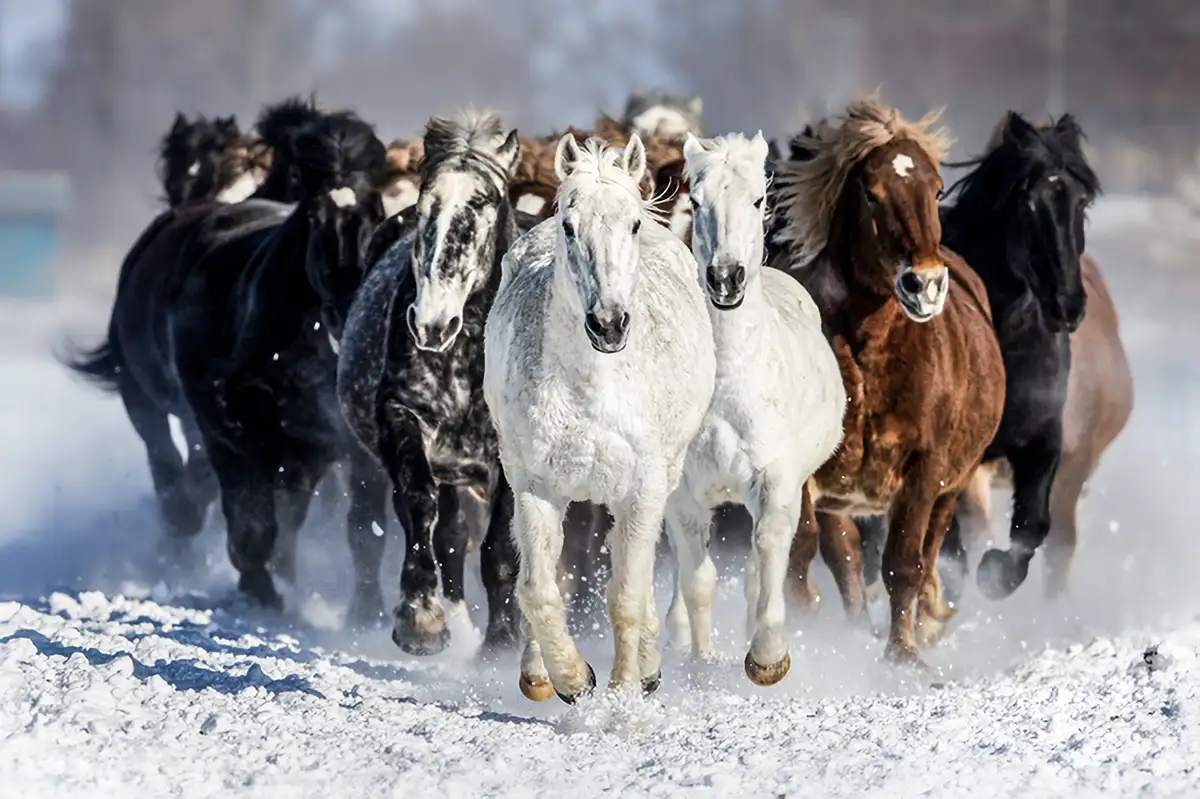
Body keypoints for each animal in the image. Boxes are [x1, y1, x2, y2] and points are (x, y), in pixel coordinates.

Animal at [67, 108, 391, 614]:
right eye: (314, 216)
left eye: (377, 212)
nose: (351, 298)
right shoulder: (235, 430)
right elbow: (251, 519)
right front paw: (260, 590)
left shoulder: (345, 442)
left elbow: (364, 528)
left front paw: (365, 613)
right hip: (142, 397)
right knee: (168, 464)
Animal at [335, 110, 527, 655]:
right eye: (425, 205)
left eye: (483, 202)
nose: (431, 324)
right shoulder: (404, 419)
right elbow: (419, 506)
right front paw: (420, 620)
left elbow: (501, 545)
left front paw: (501, 643)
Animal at [484, 134, 716, 701]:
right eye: (569, 225)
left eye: (630, 224)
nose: (608, 324)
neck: (594, 390)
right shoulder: (535, 487)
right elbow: (539, 590)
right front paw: (573, 679)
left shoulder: (643, 488)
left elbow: (626, 595)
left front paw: (625, 692)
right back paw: (538, 672)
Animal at [662, 132, 845, 686]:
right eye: (695, 200)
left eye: (759, 199)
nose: (726, 278)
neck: (726, 385)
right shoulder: (682, 491)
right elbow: (697, 576)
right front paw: (699, 662)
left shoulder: (776, 480)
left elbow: (767, 552)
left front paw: (767, 657)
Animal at [774, 97, 1006, 665]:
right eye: (871, 193)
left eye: (937, 189)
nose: (924, 284)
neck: (868, 355)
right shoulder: (808, 469)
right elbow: (803, 550)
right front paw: (805, 624)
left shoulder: (925, 469)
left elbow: (905, 562)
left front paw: (903, 656)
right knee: (846, 560)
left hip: (952, 487)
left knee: (929, 548)